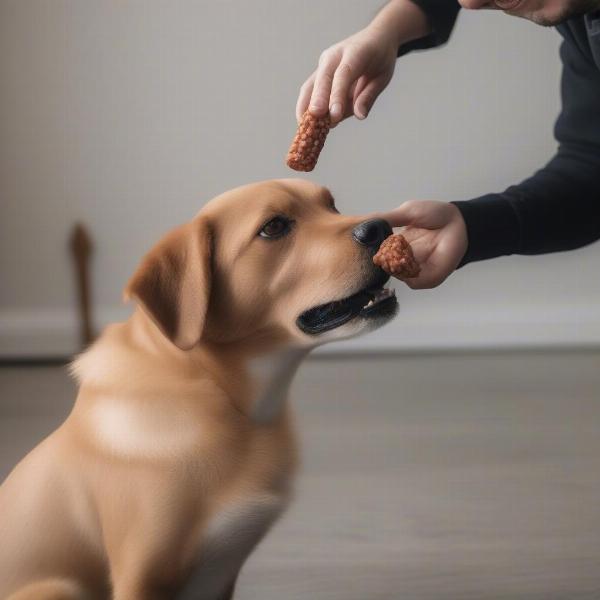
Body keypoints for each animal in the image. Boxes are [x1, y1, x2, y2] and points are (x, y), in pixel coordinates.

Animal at [0, 179, 398, 600]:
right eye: (273, 227)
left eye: (331, 205)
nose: (381, 227)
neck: (224, 398)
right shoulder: (140, 576)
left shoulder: (223, 573)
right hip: (56, 589)